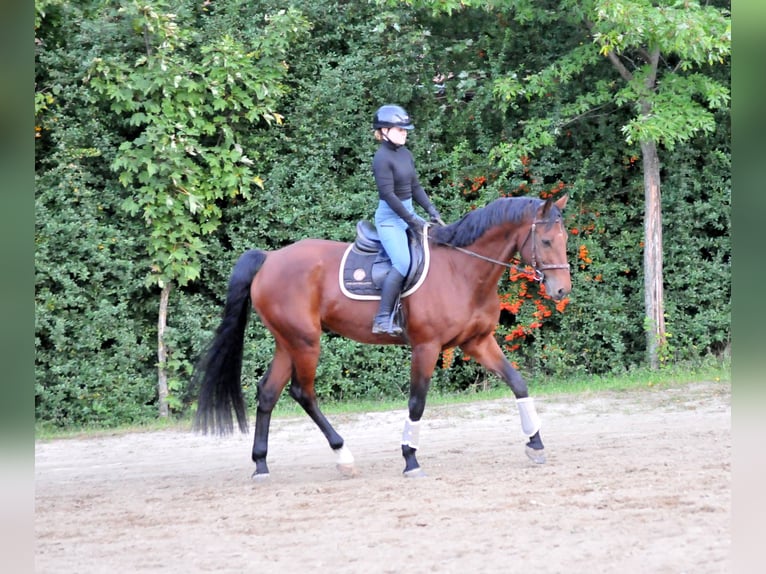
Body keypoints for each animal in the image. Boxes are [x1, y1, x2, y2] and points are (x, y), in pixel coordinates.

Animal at [193, 194, 571, 479]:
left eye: (565, 240)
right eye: (546, 241)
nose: (561, 290)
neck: (462, 270)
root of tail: (270, 258)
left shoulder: (477, 342)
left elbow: (517, 382)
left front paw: (535, 443)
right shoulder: (426, 347)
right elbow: (417, 402)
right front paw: (410, 458)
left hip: (288, 342)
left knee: (269, 392)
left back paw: (261, 464)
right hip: (305, 342)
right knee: (303, 393)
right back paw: (343, 456)